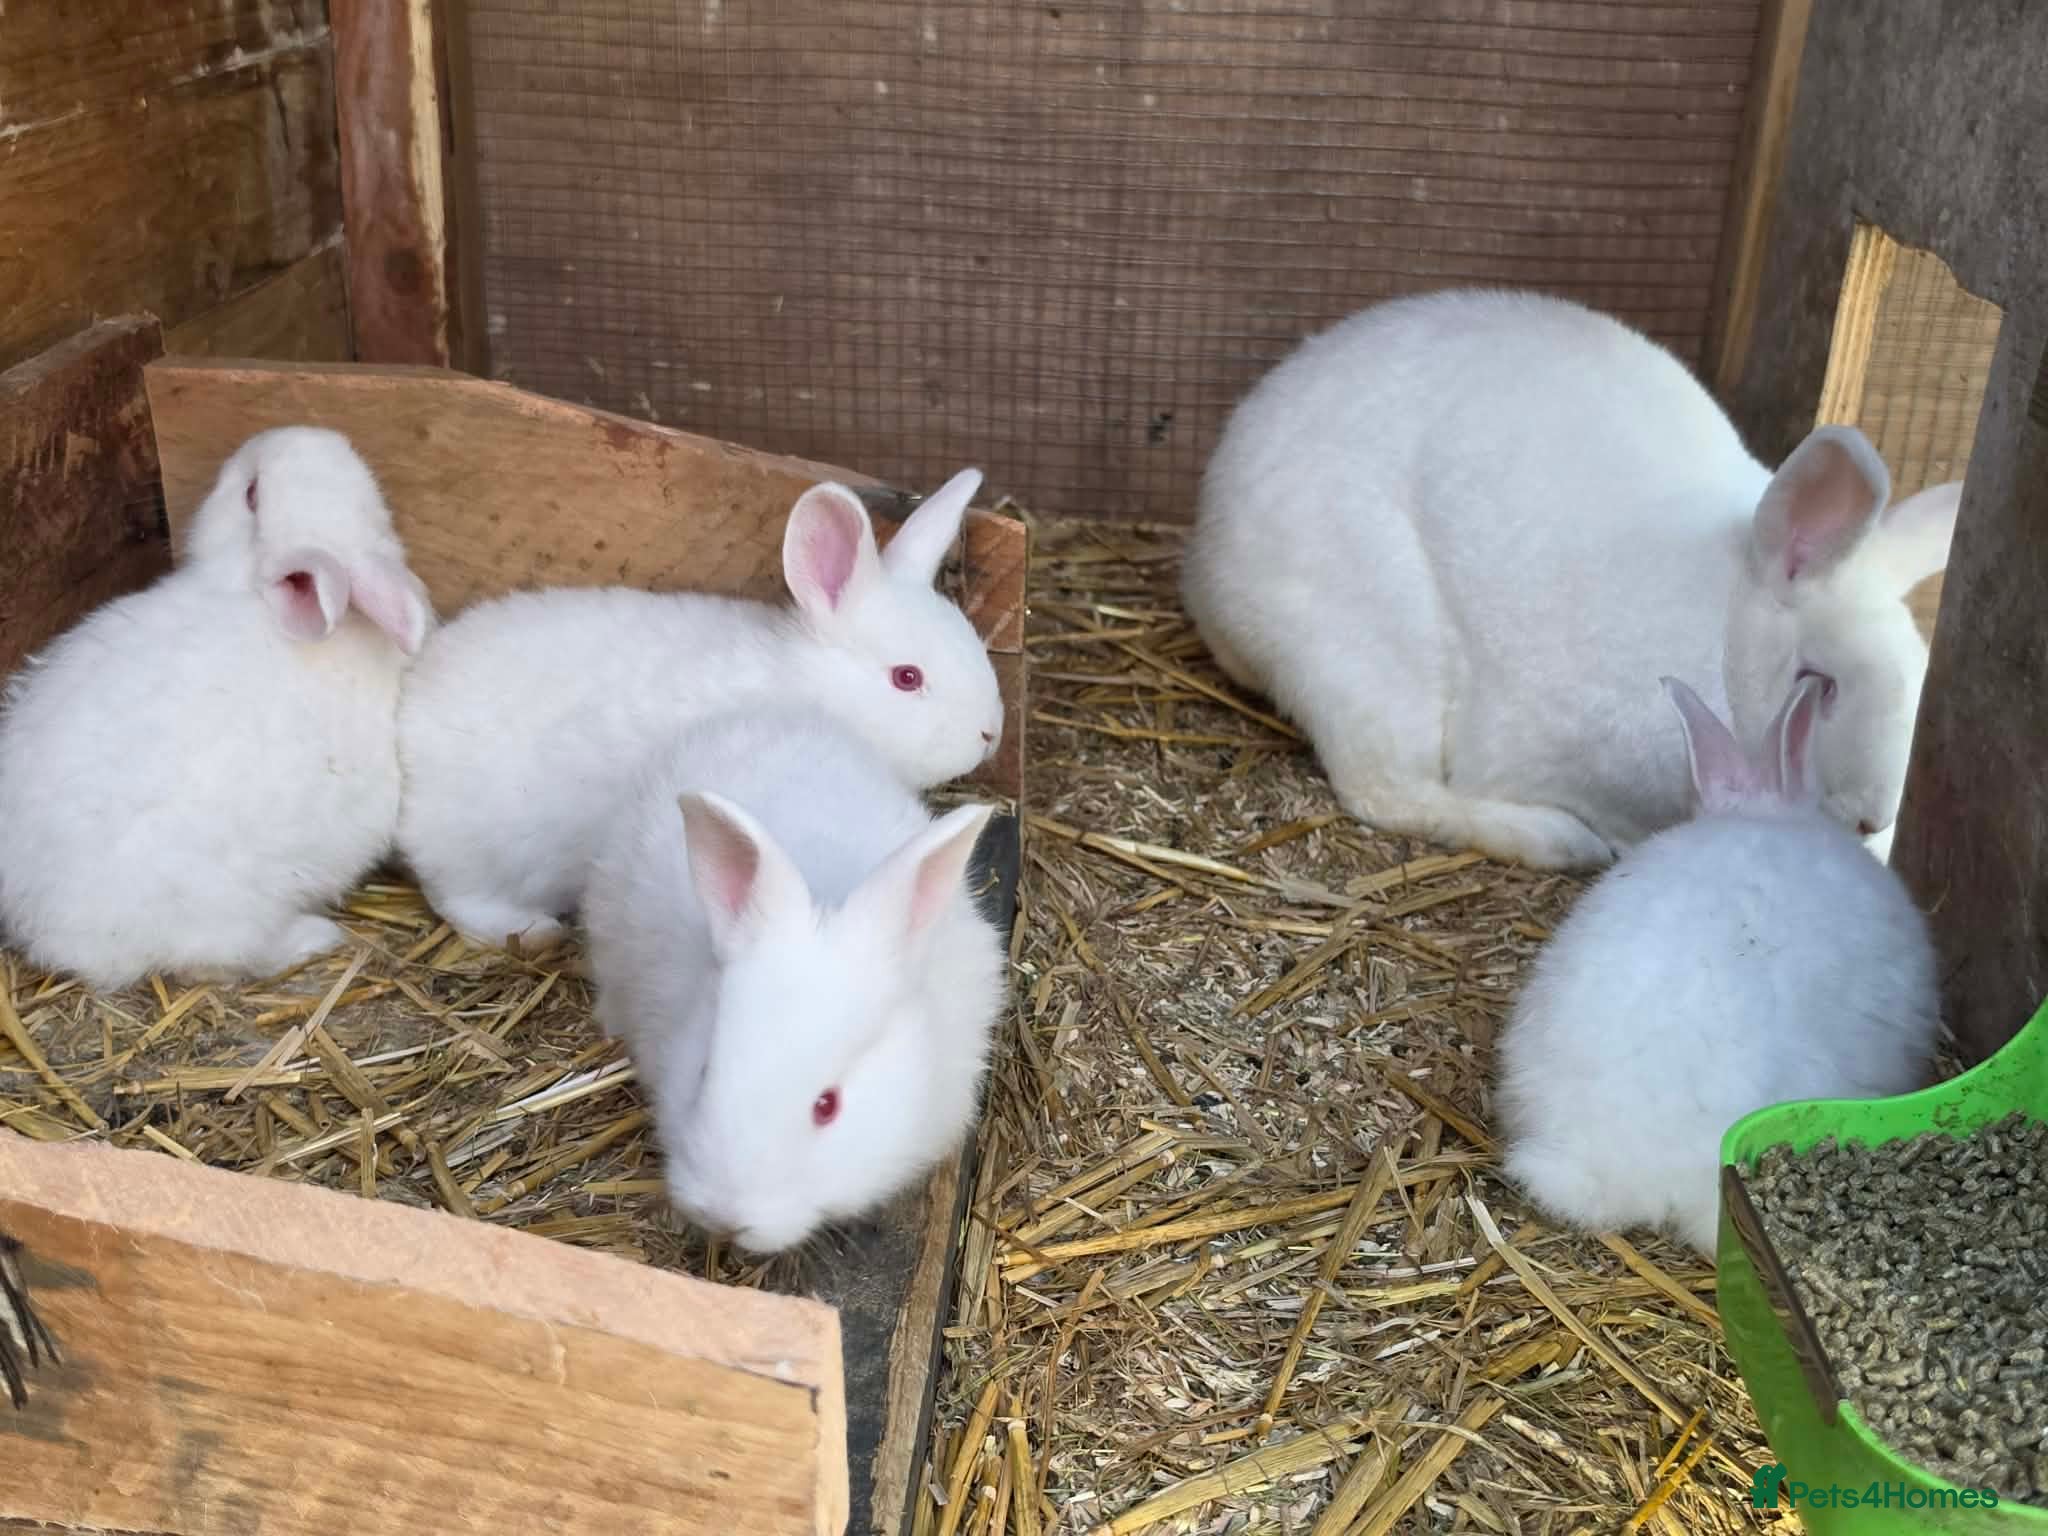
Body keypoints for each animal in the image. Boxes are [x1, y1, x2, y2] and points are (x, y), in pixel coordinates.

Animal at [395, 468, 1003, 949]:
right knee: (455, 893)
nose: (989, 734)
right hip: (485, 850)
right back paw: (532, 931)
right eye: (907, 678)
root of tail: (409, 712)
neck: (808, 683)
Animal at [1180, 287, 1961, 872]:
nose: (1874, 817)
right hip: (1369, 656)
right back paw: (1559, 843)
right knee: (1385, 789)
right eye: (1818, 681)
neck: (1726, 633)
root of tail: (1208, 562)